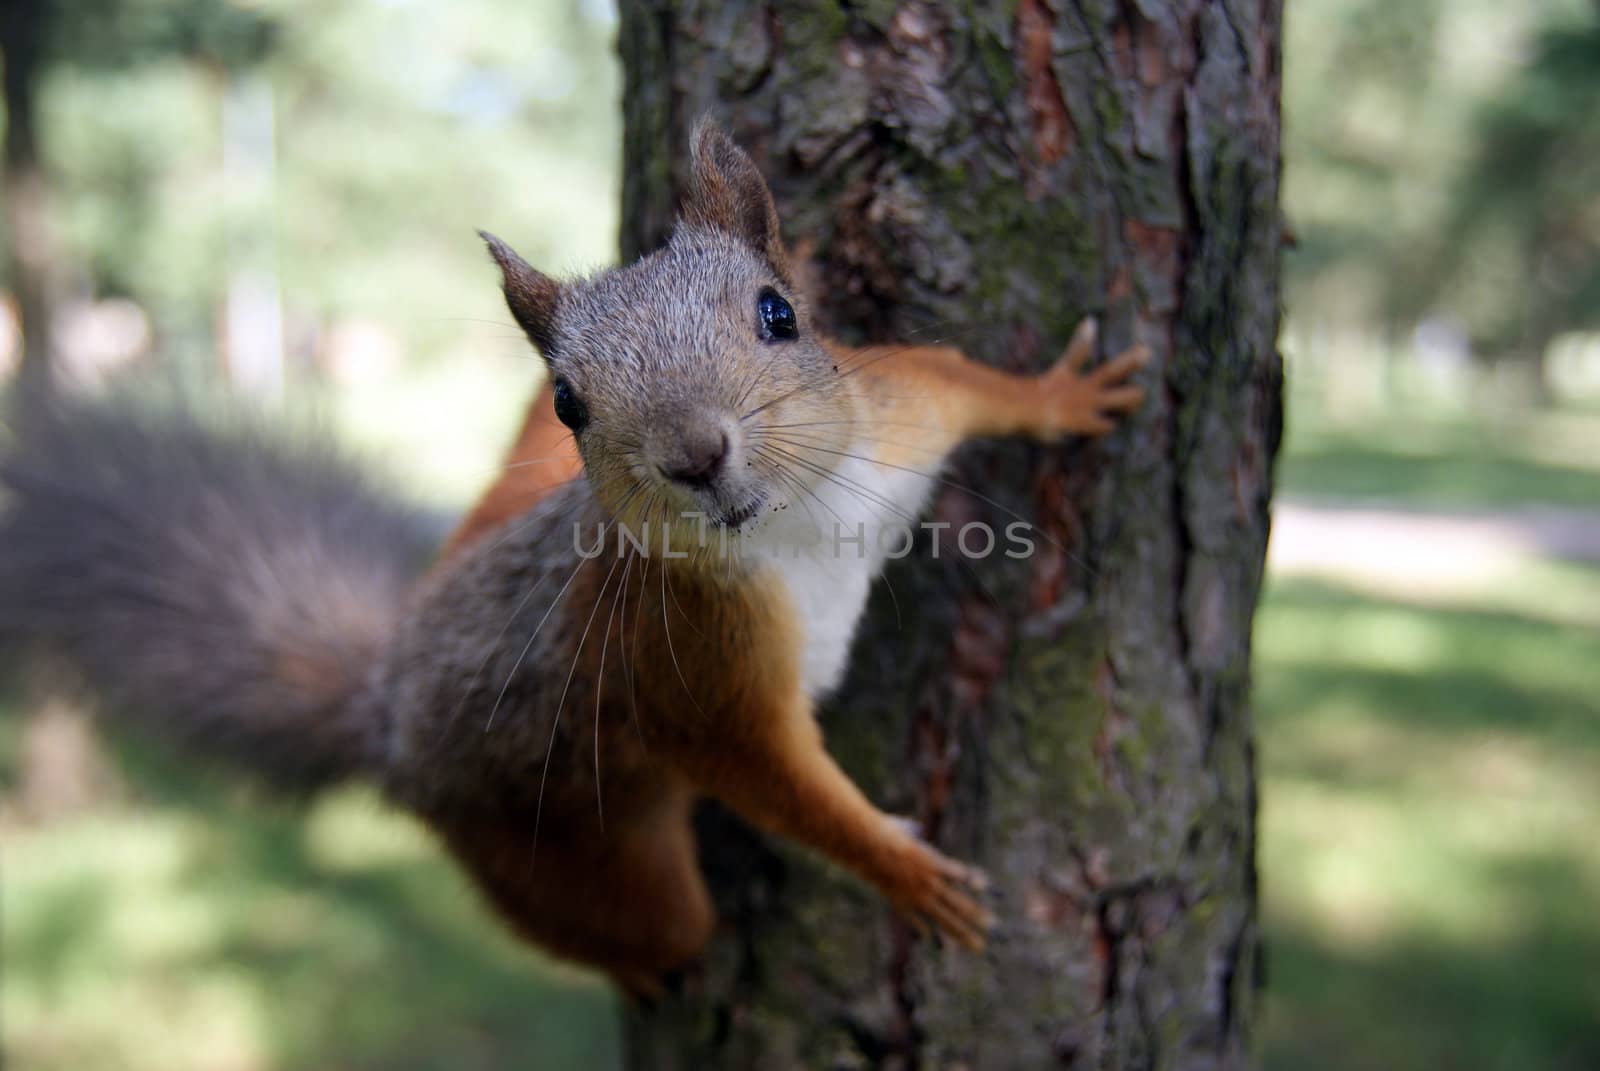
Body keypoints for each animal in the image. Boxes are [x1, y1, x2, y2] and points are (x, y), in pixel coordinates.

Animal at [0, 119, 1152, 992]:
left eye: (778, 314)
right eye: (573, 402)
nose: (695, 455)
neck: (794, 522)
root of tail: (389, 712)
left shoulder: (899, 414)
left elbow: (968, 379)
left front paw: (1063, 396)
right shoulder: (695, 666)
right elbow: (778, 782)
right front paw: (906, 875)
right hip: (558, 850)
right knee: (640, 928)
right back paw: (646, 970)